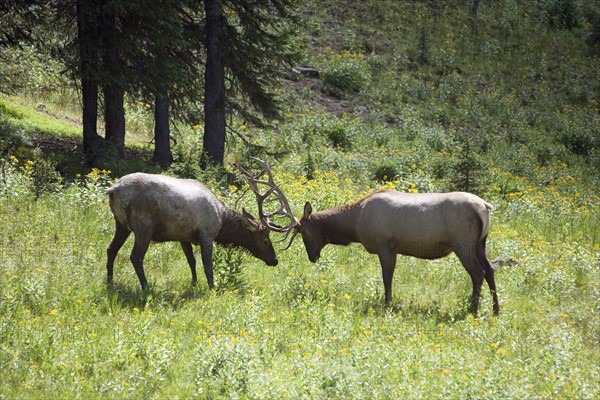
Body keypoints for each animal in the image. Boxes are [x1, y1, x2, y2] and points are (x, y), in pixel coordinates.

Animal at [106, 173, 278, 290]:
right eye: (265, 241)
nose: (275, 260)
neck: (222, 221)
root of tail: (114, 189)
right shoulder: (207, 235)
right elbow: (207, 266)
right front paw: (212, 288)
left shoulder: (184, 237)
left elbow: (192, 262)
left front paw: (194, 283)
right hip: (144, 226)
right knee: (135, 257)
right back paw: (146, 287)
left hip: (121, 224)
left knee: (111, 249)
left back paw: (109, 282)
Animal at [237, 159, 500, 316]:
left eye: (304, 232)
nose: (312, 257)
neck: (355, 223)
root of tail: (485, 207)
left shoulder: (385, 244)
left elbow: (387, 279)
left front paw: (387, 305)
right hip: (481, 243)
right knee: (490, 270)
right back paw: (496, 310)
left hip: (463, 242)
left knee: (477, 273)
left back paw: (473, 309)